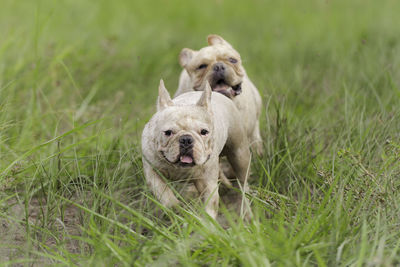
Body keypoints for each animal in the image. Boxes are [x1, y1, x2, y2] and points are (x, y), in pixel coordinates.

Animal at [142, 80, 252, 219]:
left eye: (204, 132)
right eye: (168, 132)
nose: (186, 139)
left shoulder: (207, 182)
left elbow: (210, 204)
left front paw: (207, 223)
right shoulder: (152, 172)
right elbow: (166, 196)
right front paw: (178, 211)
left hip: (239, 153)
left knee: (243, 182)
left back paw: (246, 210)